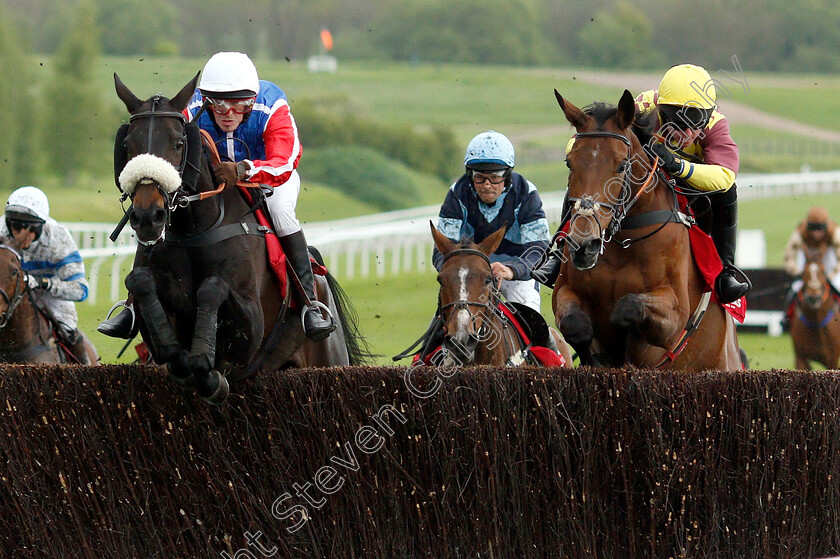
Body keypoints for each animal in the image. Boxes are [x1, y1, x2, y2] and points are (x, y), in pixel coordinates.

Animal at [113, 73, 370, 402]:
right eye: (127, 144)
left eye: (179, 142)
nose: (148, 216)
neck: (197, 231)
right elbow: (142, 284)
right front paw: (185, 355)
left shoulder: (252, 324)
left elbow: (212, 288)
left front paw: (208, 368)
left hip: (328, 357)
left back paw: (314, 316)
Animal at [552, 89, 740, 372]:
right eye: (568, 163)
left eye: (621, 165)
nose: (583, 246)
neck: (624, 239)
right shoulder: (564, 293)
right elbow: (576, 324)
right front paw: (597, 358)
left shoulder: (674, 315)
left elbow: (626, 308)